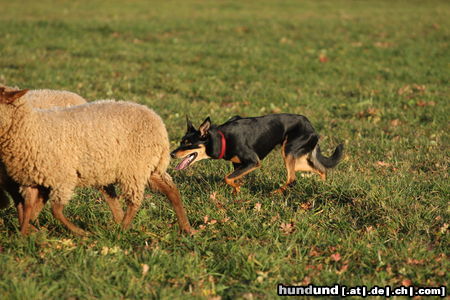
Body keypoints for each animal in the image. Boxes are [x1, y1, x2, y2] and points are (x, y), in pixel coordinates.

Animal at [0, 88, 191, 236]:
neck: (31, 127)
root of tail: (158, 123)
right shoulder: (31, 179)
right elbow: (27, 207)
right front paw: (26, 234)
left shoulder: (62, 178)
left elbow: (55, 210)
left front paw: (80, 233)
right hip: (132, 168)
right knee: (170, 190)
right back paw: (186, 228)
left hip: (134, 168)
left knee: (134, 201)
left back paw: (121, 230)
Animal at [171, 113, 342, 193]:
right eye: (181, 142)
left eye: (189, 144)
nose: (171, 154)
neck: (221, 138)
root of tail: (312, 128)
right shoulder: (238, 164)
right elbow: (233, 179)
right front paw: (237, 192)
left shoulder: (253, 161)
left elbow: (227, 178)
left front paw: (239, 189)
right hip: (296, 157)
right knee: (320, 169)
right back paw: (323, 185)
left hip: (288, 151)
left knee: (292, 179)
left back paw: (275, 193)